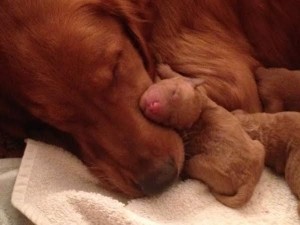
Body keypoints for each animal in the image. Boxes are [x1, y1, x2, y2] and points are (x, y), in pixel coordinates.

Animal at [141, 64, 264, 208]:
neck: (199, 111)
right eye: (174, 92)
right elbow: (178, 76)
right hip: (259, 147)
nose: (153, 106)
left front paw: (162, 69)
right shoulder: (202, 91)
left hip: (202, 165)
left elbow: (175, 74)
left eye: (168, 121)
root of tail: (248, 183)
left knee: (192, 166)